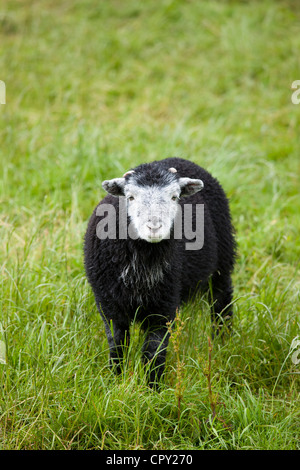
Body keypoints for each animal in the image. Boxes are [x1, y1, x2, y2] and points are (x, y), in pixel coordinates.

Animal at [83, 157, 236, 386]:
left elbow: (154, 350)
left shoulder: (165, 304)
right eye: (130, 197)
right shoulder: (108, 303)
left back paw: (222, 341)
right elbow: (117, 342)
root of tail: (177, 158)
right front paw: (115, 378)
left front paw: (152, 387)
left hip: (222, 261)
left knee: (221, 300)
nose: (154, 227)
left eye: (174, 197)